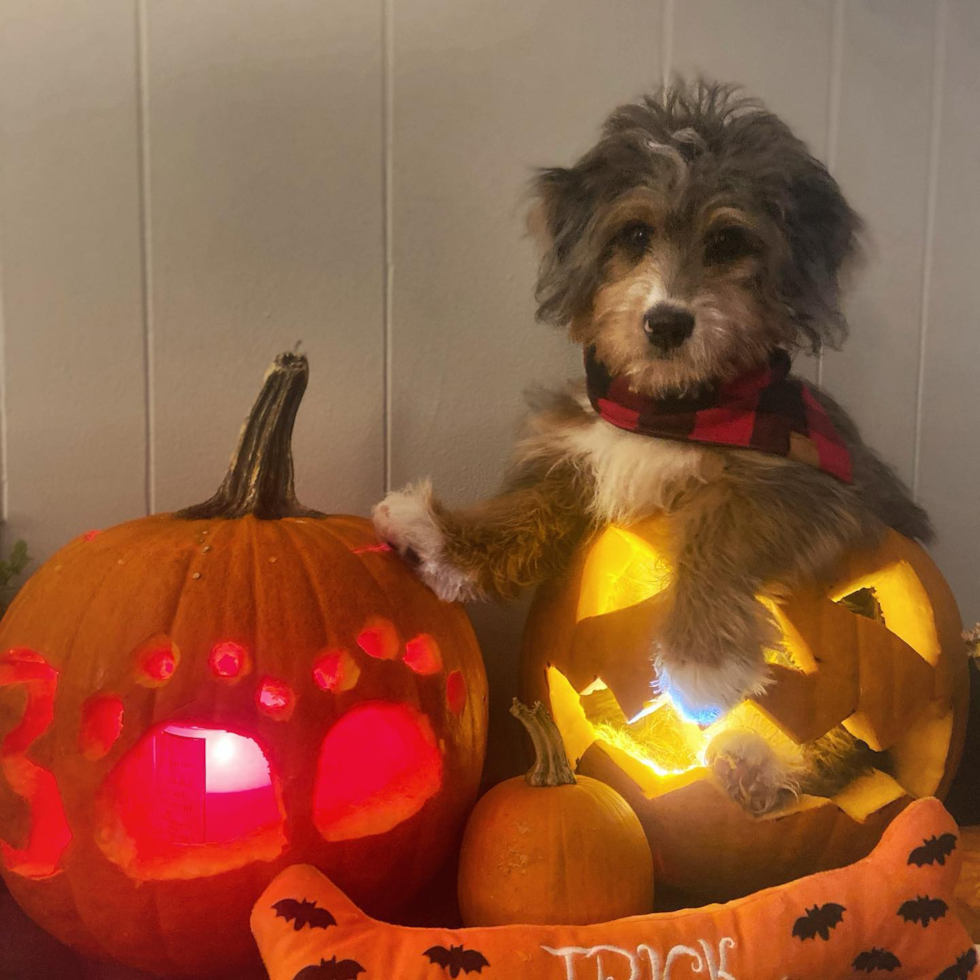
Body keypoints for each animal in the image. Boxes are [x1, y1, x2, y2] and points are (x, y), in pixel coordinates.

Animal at [376, 78, 936, 812]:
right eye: (635, 234)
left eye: (729, 241)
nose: (666, 322)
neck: (670, 408)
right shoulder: (583, 453)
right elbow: (527, 507)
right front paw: (440, 537)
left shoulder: (813, 487)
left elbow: (722, 530)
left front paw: (702, 660)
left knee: (838, 755)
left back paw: (756, 766)